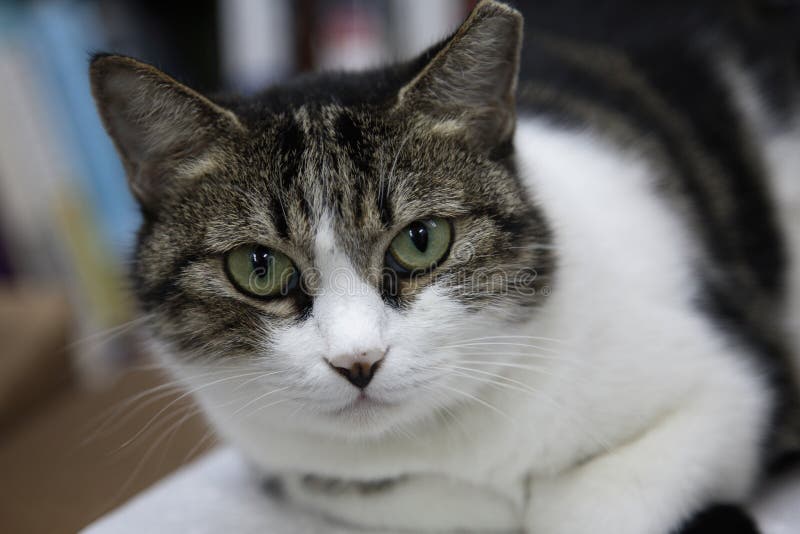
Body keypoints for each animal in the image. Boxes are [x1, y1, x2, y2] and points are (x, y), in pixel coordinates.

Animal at [89, 1, 800, 534]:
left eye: (422, 240)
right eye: (258, 267)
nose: (358, 362)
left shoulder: (731, 386)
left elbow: (588, 504)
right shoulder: (294, 466)